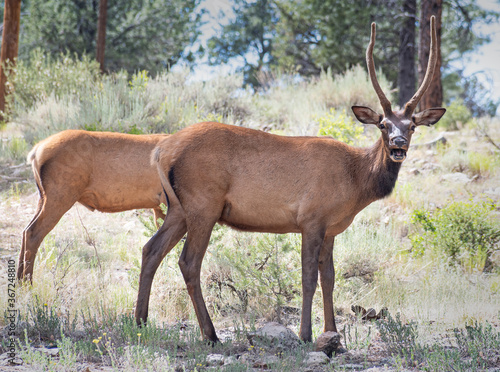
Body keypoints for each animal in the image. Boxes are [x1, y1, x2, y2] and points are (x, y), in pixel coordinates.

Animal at [18, 129, 168, 280]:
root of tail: (36, 151)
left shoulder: (158, 206)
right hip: (60, 195)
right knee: (33, 233)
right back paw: (27, 283)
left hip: (43, 196)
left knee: (25, 231)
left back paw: (20, 281)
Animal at [134, 17, 446, 342]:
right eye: (383, 125)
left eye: (412, 126)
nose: (398, 144)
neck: (356, 183)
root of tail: (161, 151)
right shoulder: (311, 218)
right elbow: (308, 278)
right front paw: (306, 334)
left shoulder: (331, 228)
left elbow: (330, 278)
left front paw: (333, 332)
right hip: (203, 205)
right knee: (188, 262)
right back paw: (210, 334)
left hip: (178, 208)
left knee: (150, 249)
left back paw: (140, 321)